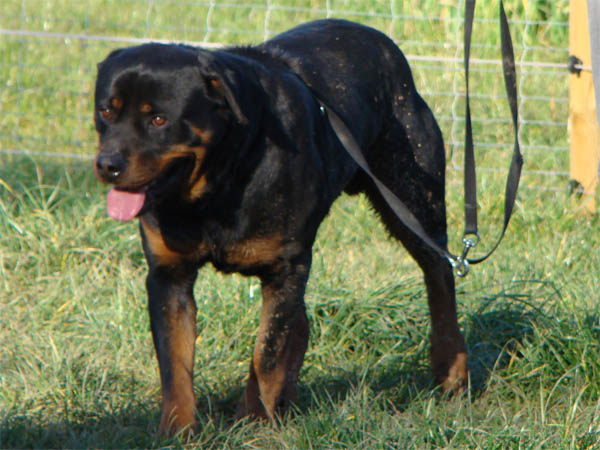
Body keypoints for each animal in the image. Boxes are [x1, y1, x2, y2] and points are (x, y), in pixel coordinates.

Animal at [94, 18, 468, 437]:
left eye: (158, 120)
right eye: (106, 112)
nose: (108, 164)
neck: (217, 186)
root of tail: (382, 44)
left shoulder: (284, 266)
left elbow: (267, 352)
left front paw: (254, 421)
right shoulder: (168, 274)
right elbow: (175, 364)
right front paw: (178, 432)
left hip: (413, 199)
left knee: (440, 277)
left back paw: (452, 368)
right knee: (299, 322)